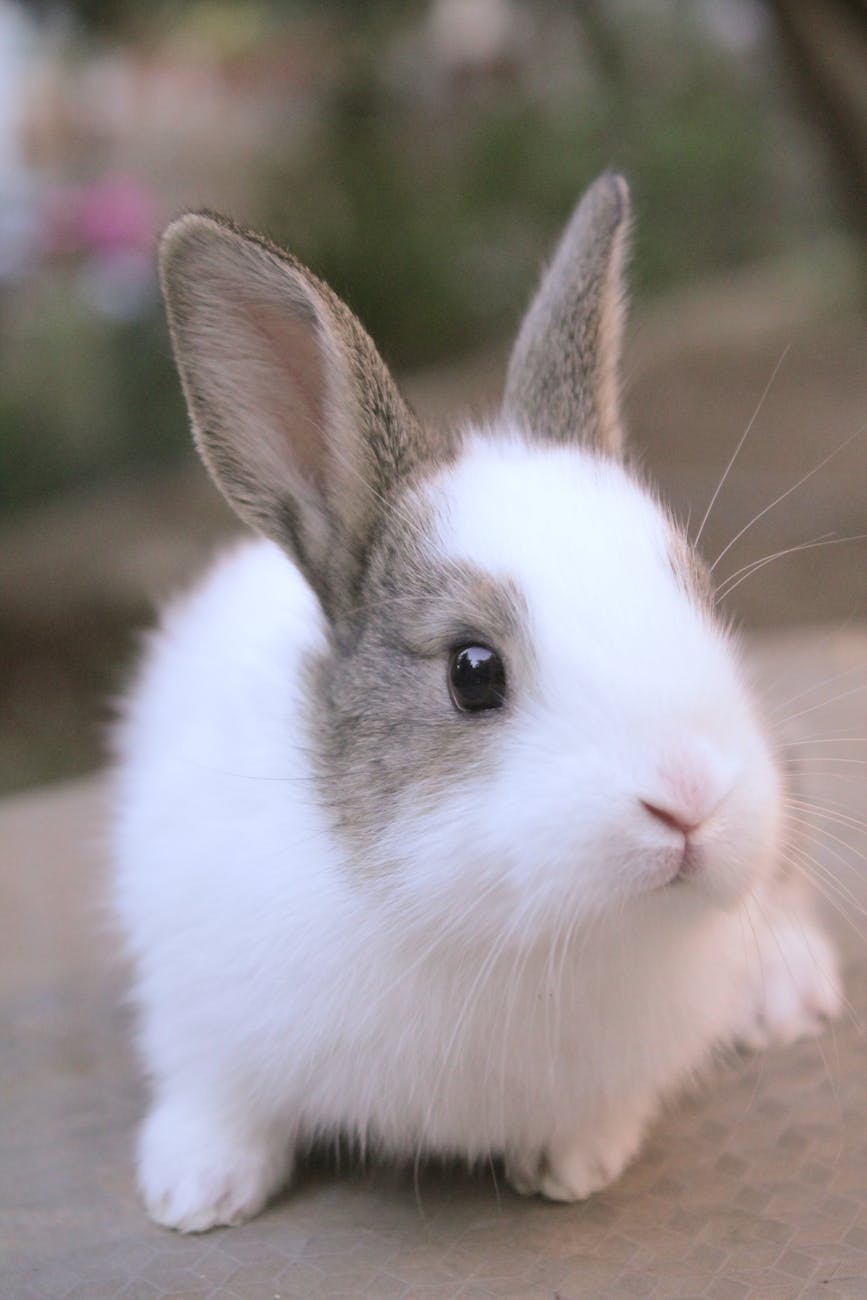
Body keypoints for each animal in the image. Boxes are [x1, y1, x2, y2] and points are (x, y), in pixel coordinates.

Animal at [113, 173, 842, 1233]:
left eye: (700, 601)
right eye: (471, 670)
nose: (689, 801)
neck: (491, 925)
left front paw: (574, 1162)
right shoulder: (195, 1001)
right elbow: (217, 1094)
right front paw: (195, 1191)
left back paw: (783, 991)